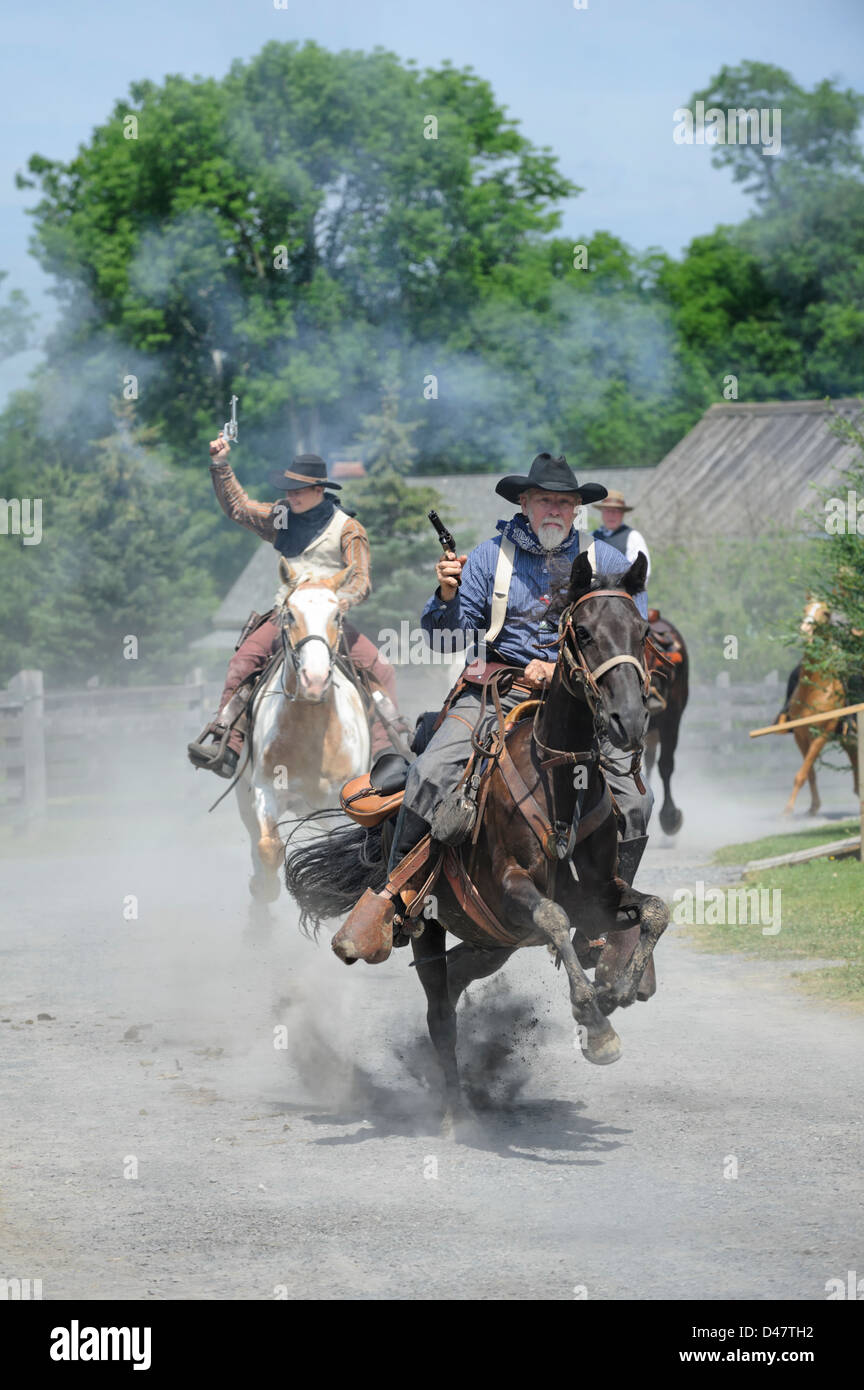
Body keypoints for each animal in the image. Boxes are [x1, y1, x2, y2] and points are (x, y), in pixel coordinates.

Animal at [237, 553, 372, 922]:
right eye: (289, 614)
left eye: (336, 615)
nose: (314, 680)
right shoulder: (265, 791)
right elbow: (268, 848)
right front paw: (264, 890)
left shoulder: (340, 807)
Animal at [284, 553, 669, 1117]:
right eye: (583, 632)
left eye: (640, 631)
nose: (629, 719)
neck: (557, 782)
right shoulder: (510, 887)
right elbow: (552, 916)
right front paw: (596, 1027)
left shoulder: (597, 896)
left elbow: (655, 910)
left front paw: (615, 990)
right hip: (430, 926)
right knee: (440, 1011)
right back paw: (454, 1110)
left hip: (492, 944)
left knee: (456, 979)